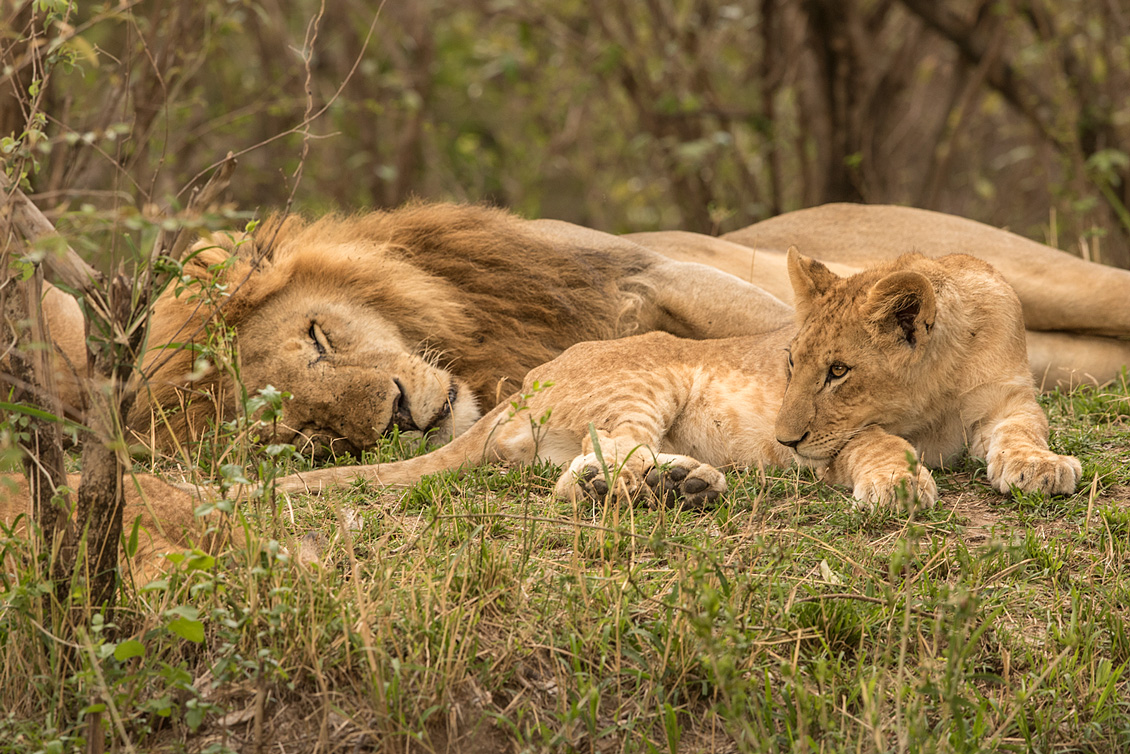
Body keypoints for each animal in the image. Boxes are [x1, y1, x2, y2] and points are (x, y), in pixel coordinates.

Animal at [275, 248, 1084, 506]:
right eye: (792, 364)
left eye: (838, 370)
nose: (784, 442)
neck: (938, 384)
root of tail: (522, 388)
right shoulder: (838, 441)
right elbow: (875, 442)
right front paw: (898, 480)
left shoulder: (1008, 399)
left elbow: (1023, 433)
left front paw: (1040, 468)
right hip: (644, 378)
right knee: (594, 463)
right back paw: (673, 485)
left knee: (577, 470)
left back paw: (679, 484)